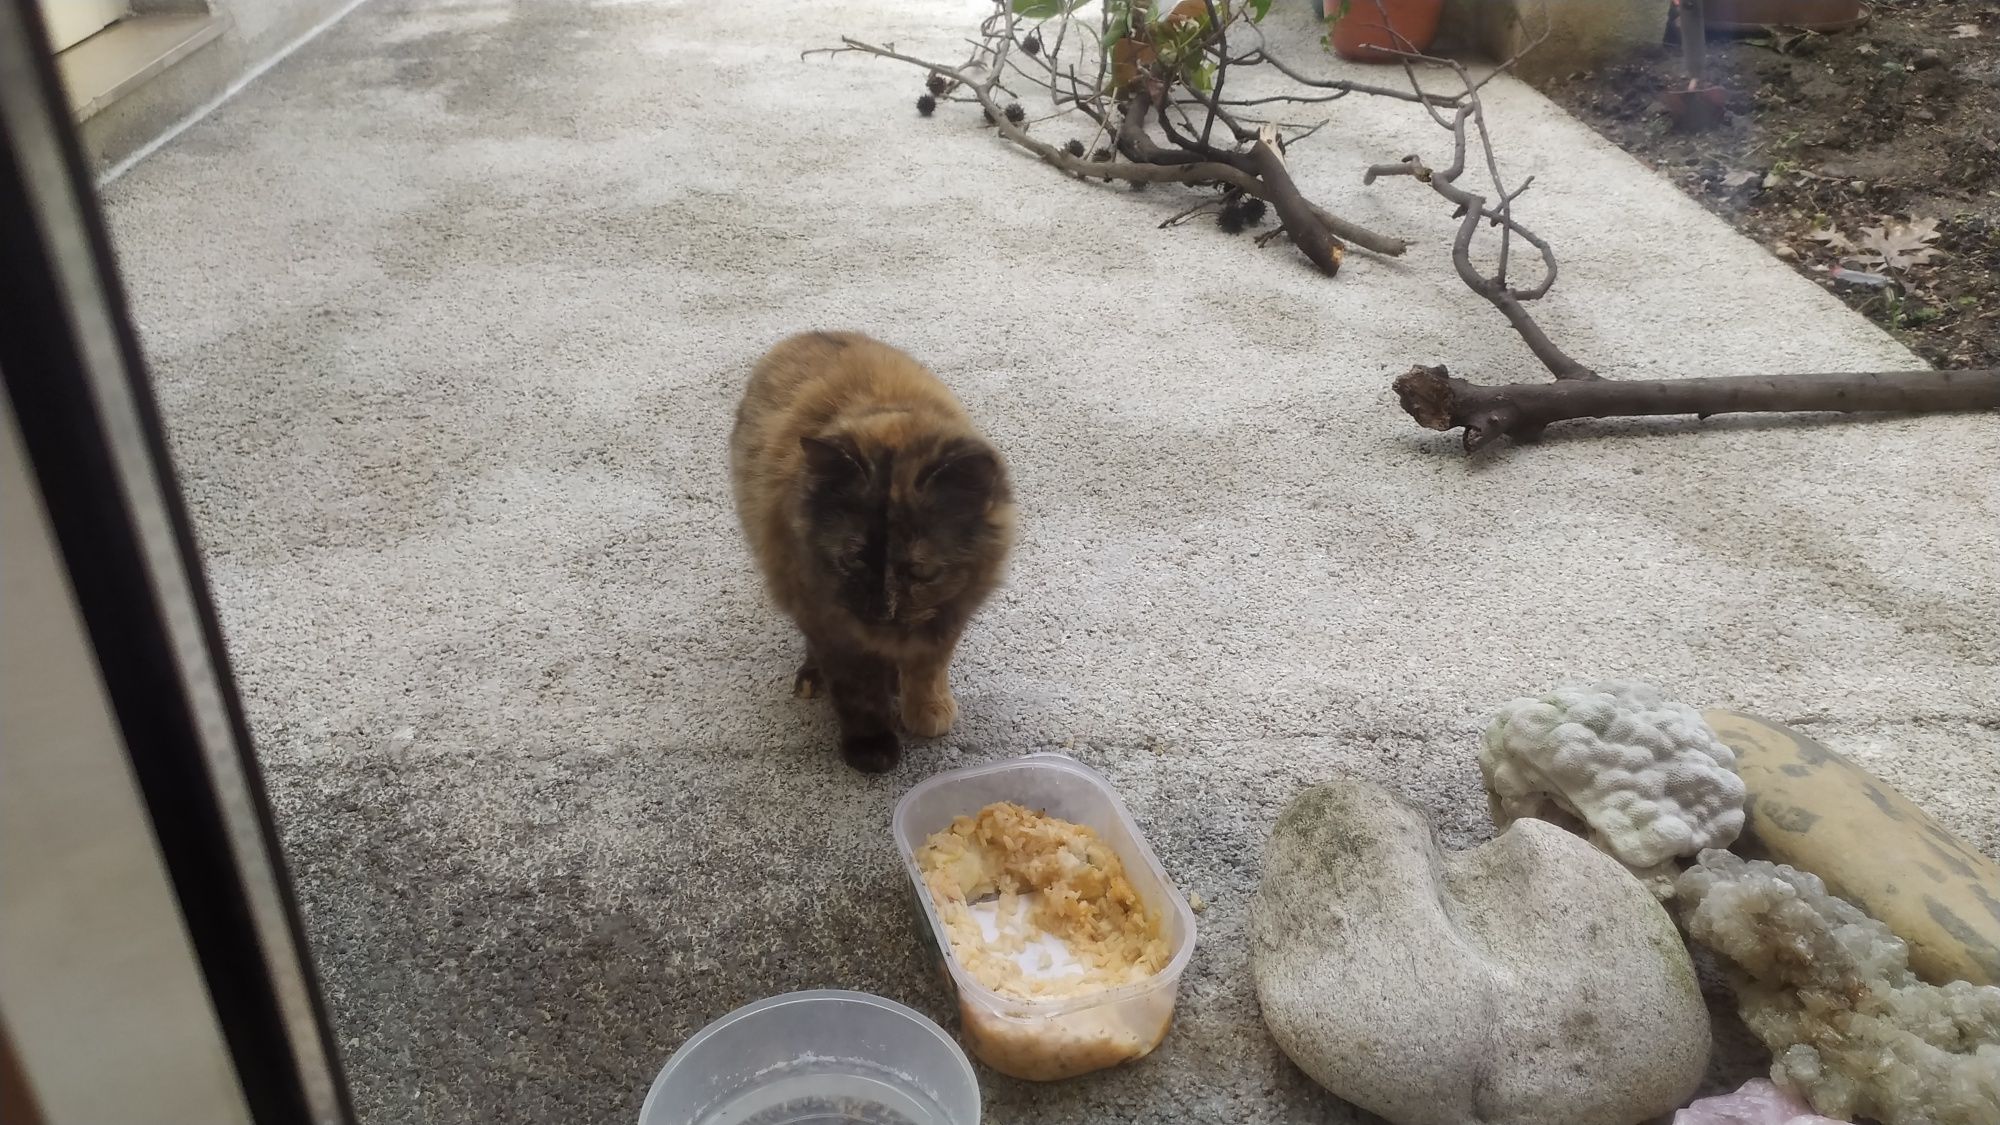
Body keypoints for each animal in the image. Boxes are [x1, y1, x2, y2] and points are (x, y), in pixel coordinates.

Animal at [728, 330, 1016, 768]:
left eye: (921, 571)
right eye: (853, 559)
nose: (880, 613)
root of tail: (806, 334)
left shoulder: (948, 611)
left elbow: (927, 665)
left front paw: (926, 709)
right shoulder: (828, 620)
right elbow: (857, 691)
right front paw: (871, 747)